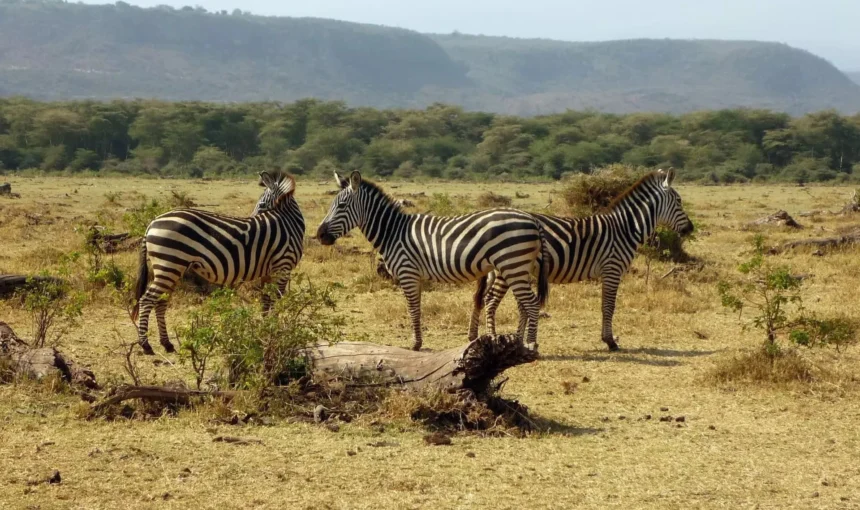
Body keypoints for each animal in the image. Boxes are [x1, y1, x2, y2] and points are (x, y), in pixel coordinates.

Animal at [131, 171, 306, 354]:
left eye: (262, 204)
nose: (251, 217)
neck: (288, 223)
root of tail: (152, 223)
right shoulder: (283, 266)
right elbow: (277, 300)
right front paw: (276, 330)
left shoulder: (269, 271)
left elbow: (266, 300)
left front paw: (266, 330)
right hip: (168, 265)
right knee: (147, 300)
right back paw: (145, 345)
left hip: (172, 268)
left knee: (161, 302)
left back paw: (167, 343)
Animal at [318, 171, 552, 350]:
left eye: (341, 206)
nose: (319, 235)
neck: (393, 232)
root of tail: (532, 219)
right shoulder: (415, 275)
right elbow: (417, 308)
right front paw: (418, 341)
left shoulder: (407, 273)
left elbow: (413, 309)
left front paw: (415, 344)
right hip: (519, 267)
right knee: (525, 304)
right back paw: (520, 342)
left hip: (512, 264)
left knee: (532, 303)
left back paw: (531, 345)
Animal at [478, 169, 692, 352]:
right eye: (679, 201)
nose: (690, 228)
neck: (624, 229)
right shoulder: (612, 269)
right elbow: (608, 306)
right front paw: (610, 341)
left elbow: (606, 305)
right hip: (508, 267)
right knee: (491, 300)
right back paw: (493, 340)